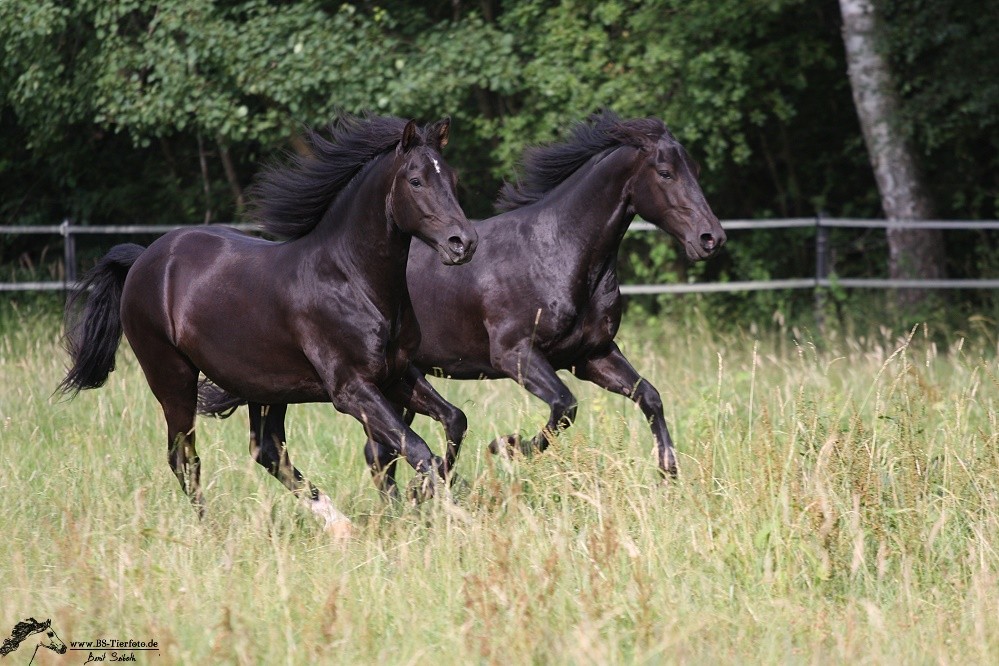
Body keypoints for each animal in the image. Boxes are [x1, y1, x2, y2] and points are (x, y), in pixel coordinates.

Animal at [59, 111, 480, 532]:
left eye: (452, 178)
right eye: (416, 180)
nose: (463, 243)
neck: (352, 279)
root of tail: (143, 259)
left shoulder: (396, 375)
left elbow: (453, 421)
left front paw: (417, 497)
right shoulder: (351, 389)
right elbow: (417, 448)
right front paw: (439, 506)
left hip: (266, 388)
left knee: (268, 451)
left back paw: (339, 526)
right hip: (172, 379)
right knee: (184, 456)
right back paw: (212, 530)